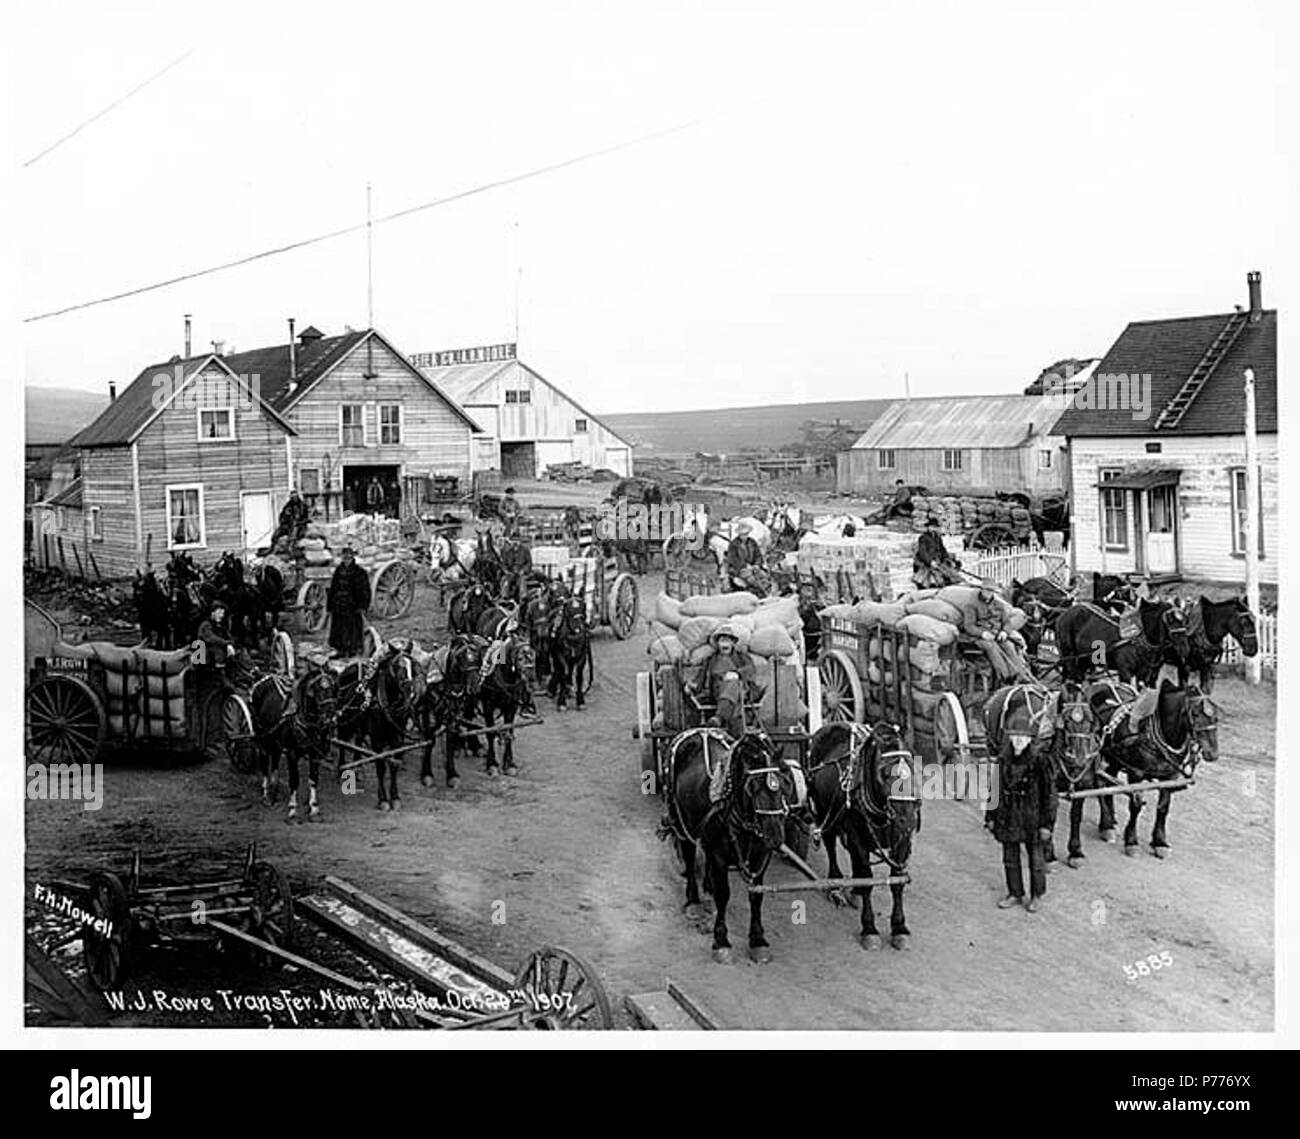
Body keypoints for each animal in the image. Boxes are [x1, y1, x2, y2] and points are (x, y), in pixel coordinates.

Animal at [665, 728, 795, 962]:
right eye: (752, 788)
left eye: (785, 783)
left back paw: (707, 895)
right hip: (681, 823)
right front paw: (721, 941)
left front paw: (758, 940)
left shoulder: (760, 855)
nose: (775, 836)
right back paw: (694, 902)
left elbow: (756, 894)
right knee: (689, 857)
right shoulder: (720, 855)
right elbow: (724, 894)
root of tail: (700, 731)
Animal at [795, 722, 920, 951]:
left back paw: (855, 892)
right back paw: (836, 885)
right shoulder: (855, 833)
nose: (908, 819)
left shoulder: (902, 841)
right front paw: (869, 929)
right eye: (884, 773)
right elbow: (867, 880)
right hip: (827, 814)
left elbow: (897, 881)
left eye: (912, 768)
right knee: (831, 845)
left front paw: (899, 928)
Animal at [1055, 595, 1190, 686]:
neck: (1138, 639)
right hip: (1069, 656)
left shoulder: (1143, 673)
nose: (1185, 648)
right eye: (1170, 620)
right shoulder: (1125, 672)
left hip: (1084, 659)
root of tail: (1063, 615)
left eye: (1184, 620)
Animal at [1086, 676, 1216, 852]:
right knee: (1099, 781)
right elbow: (1135, 805)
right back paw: (1107, 825)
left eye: (1216, 714)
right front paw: (1131, 841)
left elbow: (1163, 807)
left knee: (1109, 782)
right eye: (1195, 713)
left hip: (1115, 757)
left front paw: (1159, 841)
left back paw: (1110, 820)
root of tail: (1100, 684)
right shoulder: (1136, 773)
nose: (1213, 753)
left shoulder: (1170, 777)